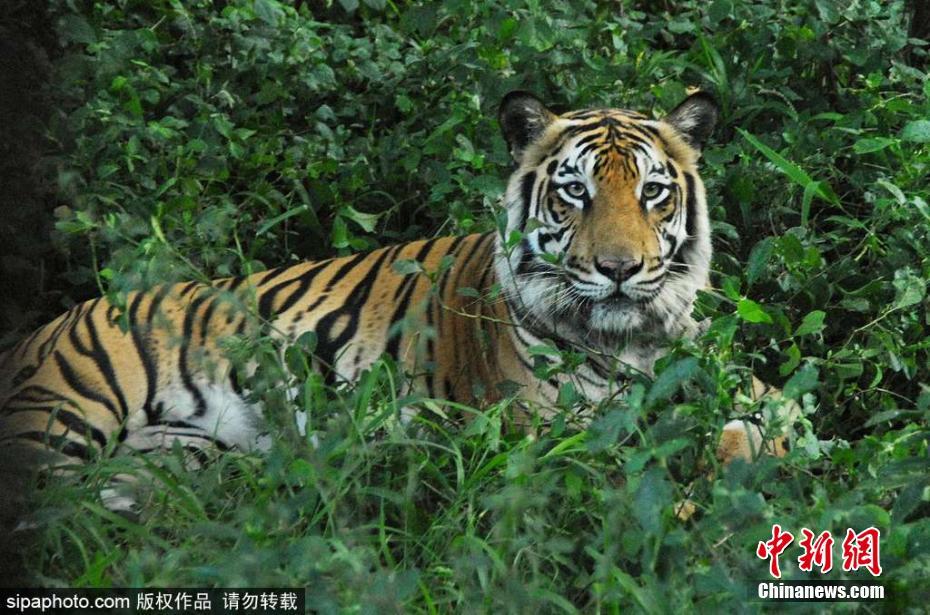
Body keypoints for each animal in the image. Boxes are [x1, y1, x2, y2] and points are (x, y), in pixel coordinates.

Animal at [0, 91, 794, 506]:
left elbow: (779, 417)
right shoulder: (540, 435)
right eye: (576, 192)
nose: (621, 268)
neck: (634, 338)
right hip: (60, 421)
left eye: (653, 192)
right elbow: (641, 460)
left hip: (175, 460)